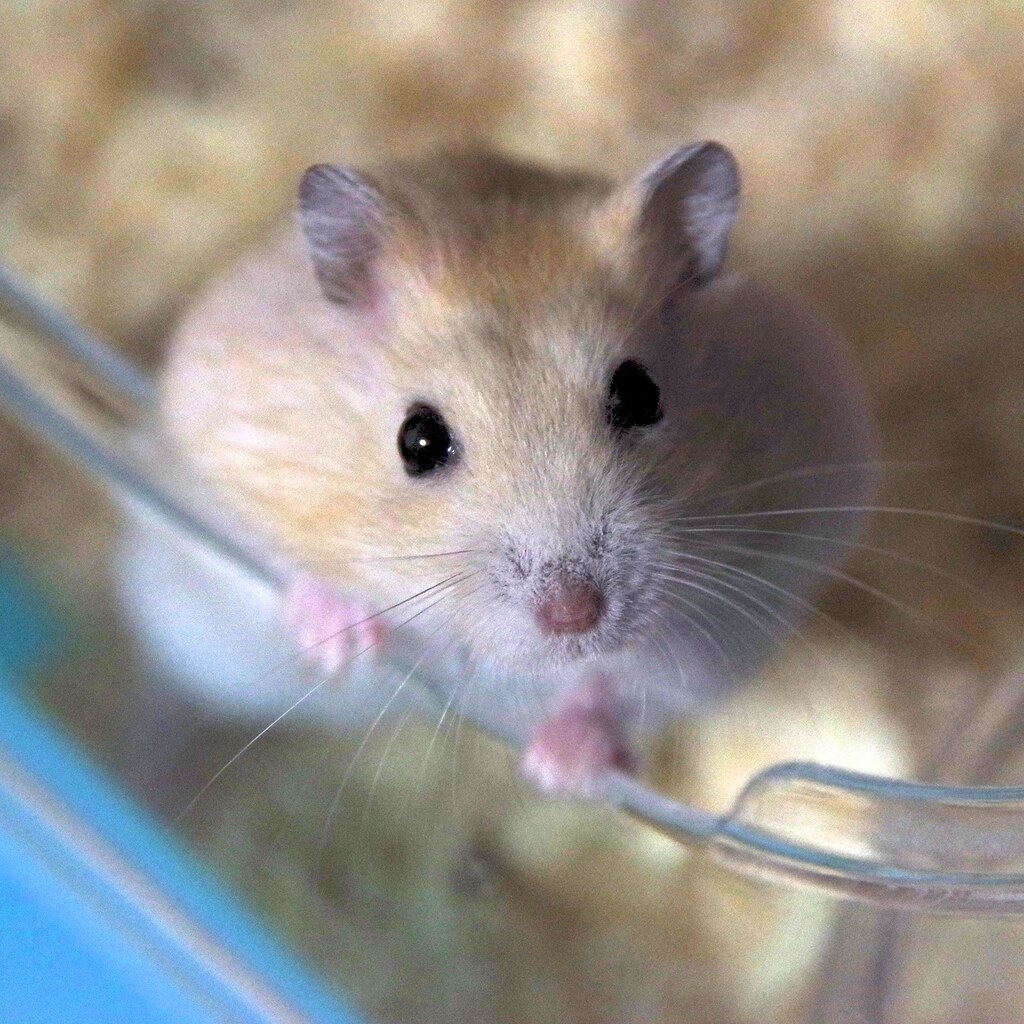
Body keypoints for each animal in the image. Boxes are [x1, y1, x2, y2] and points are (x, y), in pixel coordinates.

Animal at [158, 144, 876, 795]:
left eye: (642, 395)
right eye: (417, 440)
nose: (574, 617)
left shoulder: (734, 624)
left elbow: (617, 687)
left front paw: (557, 769)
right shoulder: (218, 482)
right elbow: (275, 567)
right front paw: (339, 645)